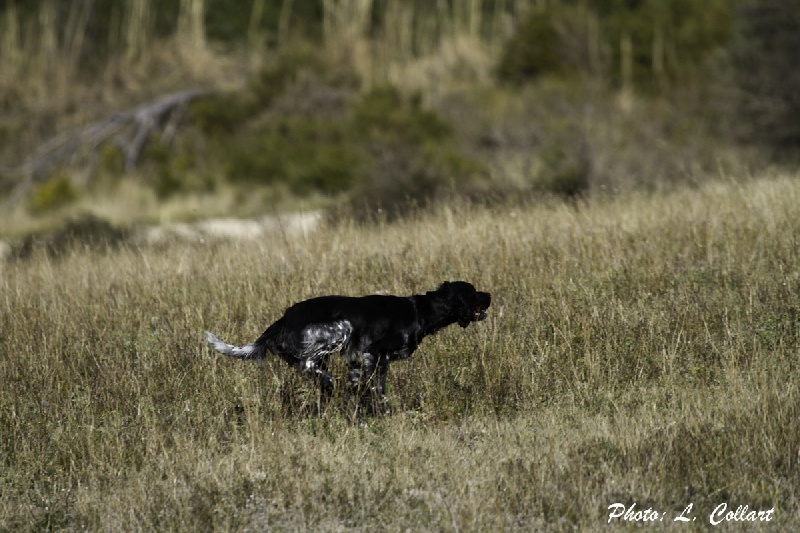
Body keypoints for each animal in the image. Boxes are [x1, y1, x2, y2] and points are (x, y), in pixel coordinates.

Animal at [203, 282, 490, 400]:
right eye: (473, 291)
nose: (489, 295)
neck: (420, 310)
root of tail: (283, 319)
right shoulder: (370, 354)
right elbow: (372, 389)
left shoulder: (369, 362)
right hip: (340, 328)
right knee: (309, 364)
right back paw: (331, 382)